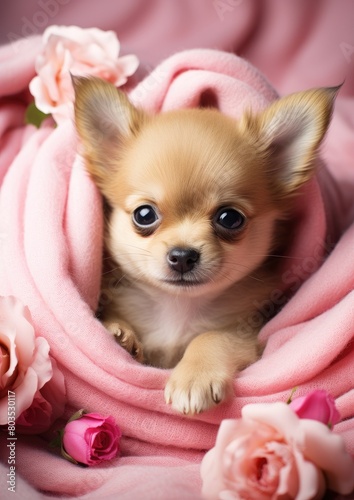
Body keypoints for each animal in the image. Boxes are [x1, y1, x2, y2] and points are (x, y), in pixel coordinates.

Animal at [74, 76, 334, 414]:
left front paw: (194, 378)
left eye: (230, 218)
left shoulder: (246, 330)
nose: (183, 255)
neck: (178, 307)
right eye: (144, 215)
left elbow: (211, 337)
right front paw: (120, 334)